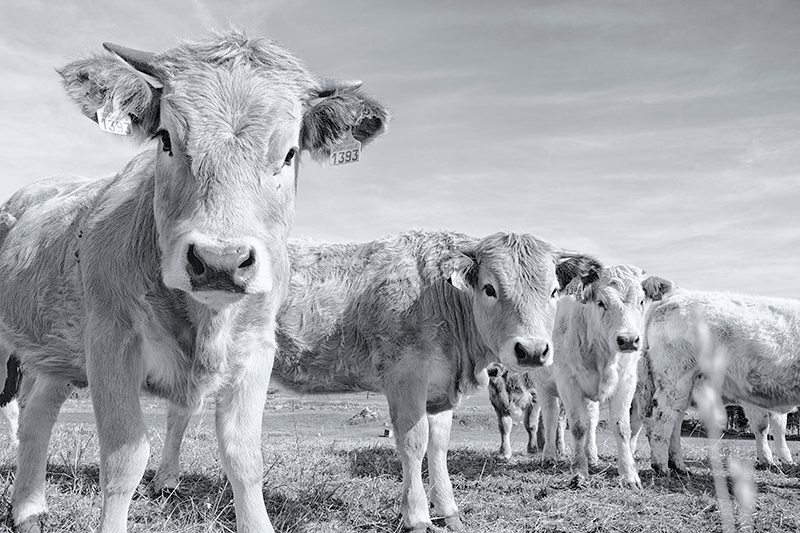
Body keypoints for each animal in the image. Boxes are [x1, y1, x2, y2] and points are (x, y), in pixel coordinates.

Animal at [0, 30, 390, 532]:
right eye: (166, 138)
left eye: (288, 154)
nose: (220, 261)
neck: (205, 320)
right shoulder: (110, 342)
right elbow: (125, 460)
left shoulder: (257, 349)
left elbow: (244, 458)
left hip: (55, 357)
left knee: (38, 415)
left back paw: (29, 508)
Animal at [148, 231, 600, 528]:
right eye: (489, 288)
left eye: (554, 290)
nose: (532, 351)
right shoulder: (406, 376)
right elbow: (414, 443)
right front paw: (418, 516)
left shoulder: (439, 388)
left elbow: (439, 447)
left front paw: (449, 510)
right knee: (180, 410)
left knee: (180, 410)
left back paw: (165, 480)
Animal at [532, 268, 676, 488]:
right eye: (601, 302)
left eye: (642, 301)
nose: (628, 340)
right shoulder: (568, 382)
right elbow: (578, 426)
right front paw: (579, 472)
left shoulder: (627, 382)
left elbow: (622, 427)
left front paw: (629, 474)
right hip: (543, 385)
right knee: (550, 417)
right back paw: (549, 456)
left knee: (591, 418)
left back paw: (591, 456)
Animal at [632, 288, 800, 476]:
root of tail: (673, 297)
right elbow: (764, 427)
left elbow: (773, 427)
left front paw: (780, 461)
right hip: (674, 377)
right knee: (662, 417)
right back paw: (661, 467)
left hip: (682, 387)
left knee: (674, 419)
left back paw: (678, 466)